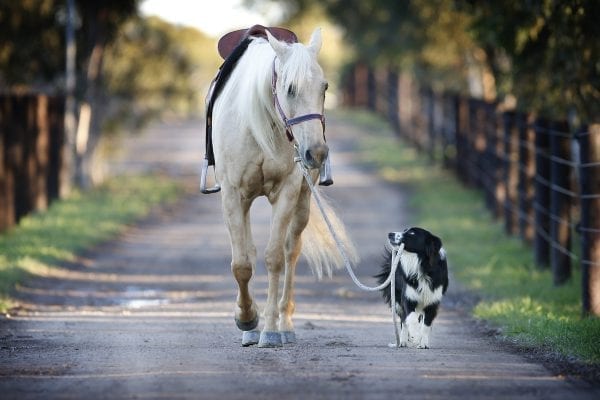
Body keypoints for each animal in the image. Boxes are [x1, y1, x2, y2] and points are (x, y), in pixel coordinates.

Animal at [213, 28, 358, 346]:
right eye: (290, 89)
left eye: (325, 87)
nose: (316, 153)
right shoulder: (232, 196)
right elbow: (241, 264)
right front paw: (247, 319)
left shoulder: (287, 192)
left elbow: (275, 258)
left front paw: (269, 328)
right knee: (249, 252)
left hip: (303, 200)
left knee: (292, 250)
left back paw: (285, 324)